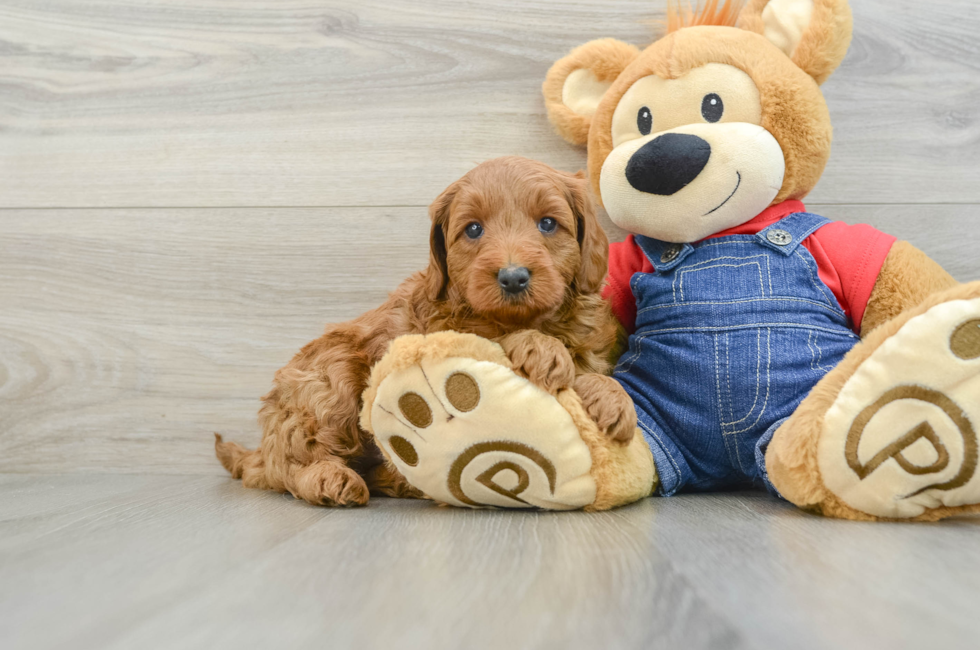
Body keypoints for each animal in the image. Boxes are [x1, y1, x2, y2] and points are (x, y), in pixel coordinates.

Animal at [214, 157, 636, 506]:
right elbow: (492, 340)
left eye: (548, 223)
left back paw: (396, 481)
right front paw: (543, 349)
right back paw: (329, 478)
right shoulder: (438, 332)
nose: (513, 277)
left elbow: (594, 371)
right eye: (473, 229)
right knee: (284, 465)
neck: (532, 318)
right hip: (327, 381)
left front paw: (613, 399)